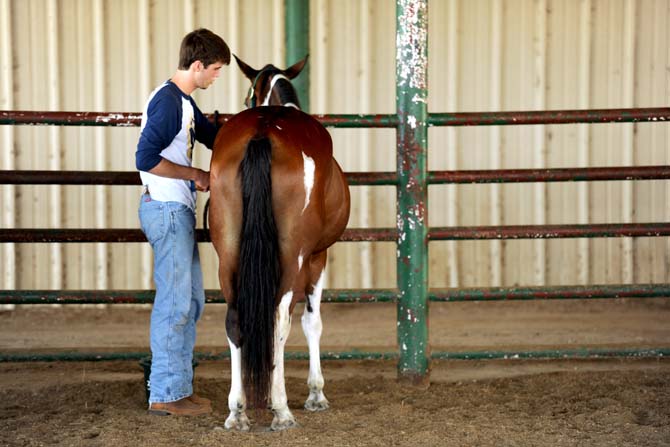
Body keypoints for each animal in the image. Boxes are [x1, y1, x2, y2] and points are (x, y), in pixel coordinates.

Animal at [211, 55, 354, 430]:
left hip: (227, 255)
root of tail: (262, 131)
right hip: (293, 257)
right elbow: (312, 323)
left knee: (235, 319)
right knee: (279, 319)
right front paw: (316, 394)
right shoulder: (318, 256)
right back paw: (281, 409)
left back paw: (237, 411)